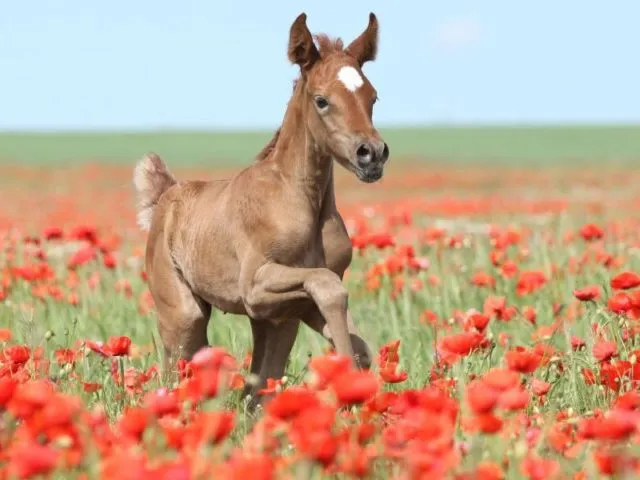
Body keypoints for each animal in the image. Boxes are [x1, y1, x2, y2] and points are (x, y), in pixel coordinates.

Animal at [135, 12, 390, 404]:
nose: (372, 155)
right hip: (184, 315)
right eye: (321, 100)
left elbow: (357, 340)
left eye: (372, 97)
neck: (300, 201)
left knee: (256, 387)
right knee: (176, 370)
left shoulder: (291, 308)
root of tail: (166, 195)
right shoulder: (256, 287)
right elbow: (329, 286)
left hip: (272, 325)